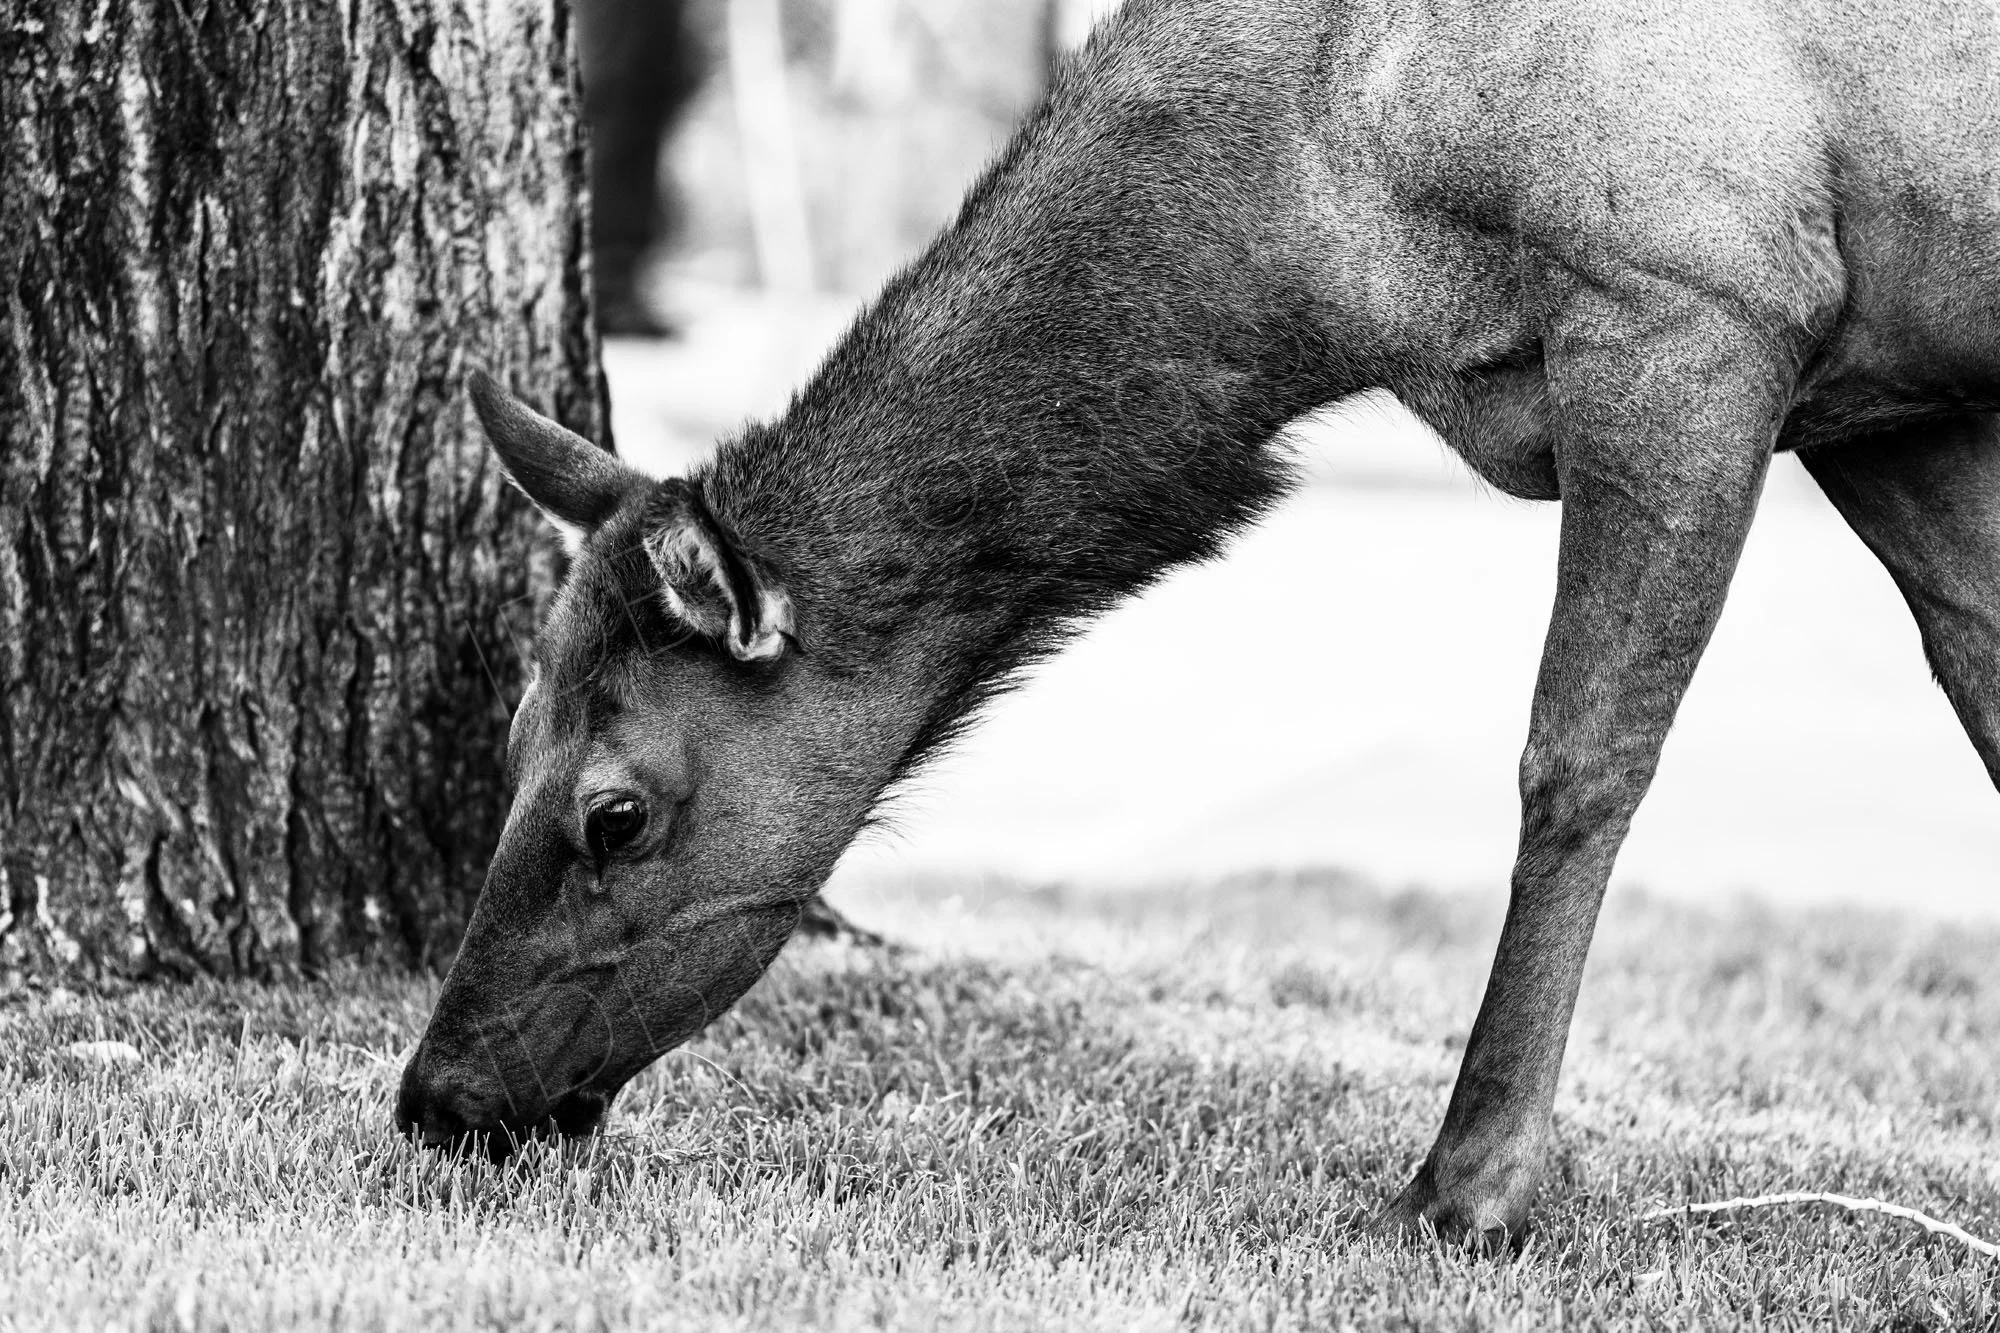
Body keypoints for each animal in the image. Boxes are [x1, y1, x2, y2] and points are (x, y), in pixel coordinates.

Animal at [397, 0, 2000, 1248]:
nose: (435, 1097)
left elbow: (1577, 759)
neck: (1342, 228)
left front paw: (1468, 1190)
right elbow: (1981, 689)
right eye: (514, 739)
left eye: (616, 813)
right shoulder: (1885, 399)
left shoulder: (1695, 297)